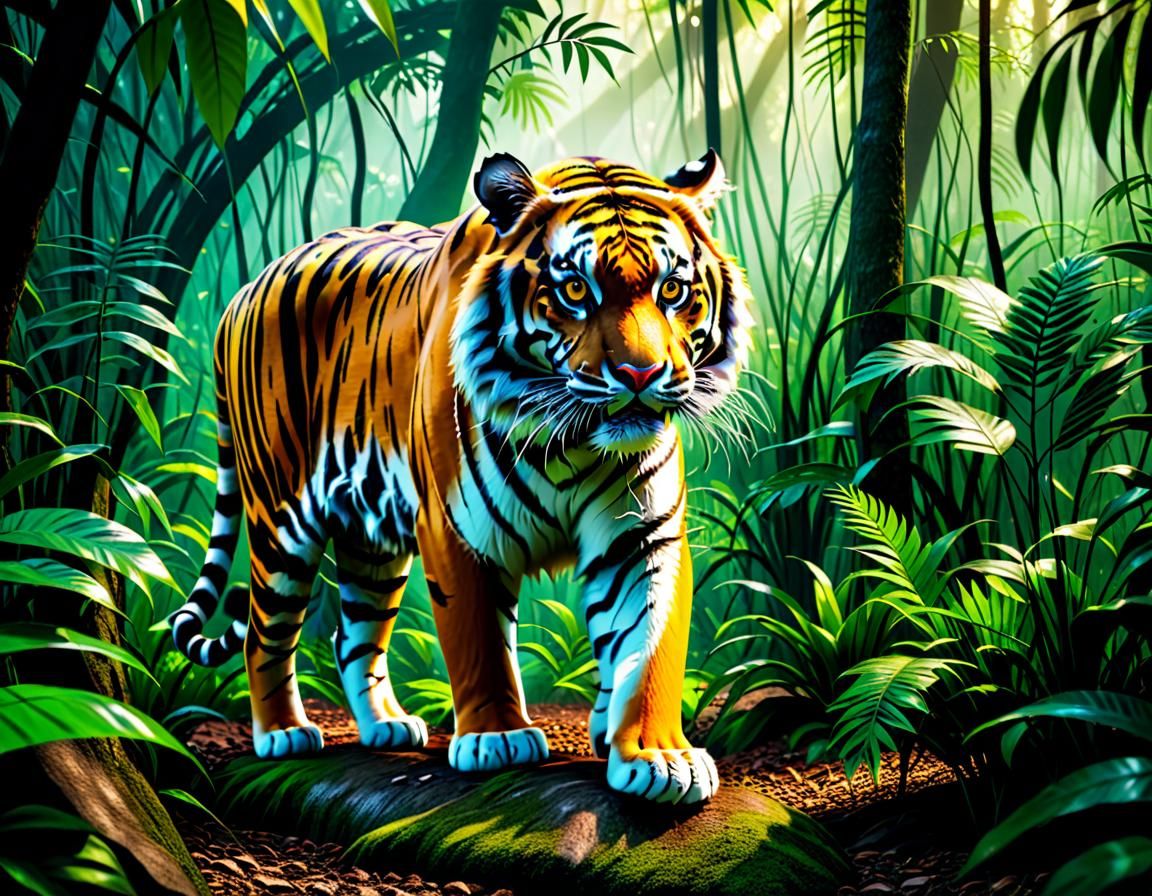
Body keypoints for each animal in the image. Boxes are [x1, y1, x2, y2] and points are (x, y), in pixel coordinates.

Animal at [170, 151, 750, 805]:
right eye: (575, 289)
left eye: (672, 289)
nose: (641, 374)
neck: (572, 441)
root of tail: (243, 289)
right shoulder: (459, 529)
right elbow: (479, 642)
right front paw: (498, 738)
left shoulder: (642, 535)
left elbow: (648, 645)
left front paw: (658, 756)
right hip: (281, 518)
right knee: (263, 631)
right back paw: (284, 734)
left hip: (370, 537)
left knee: (354, 633)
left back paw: (387, 726)